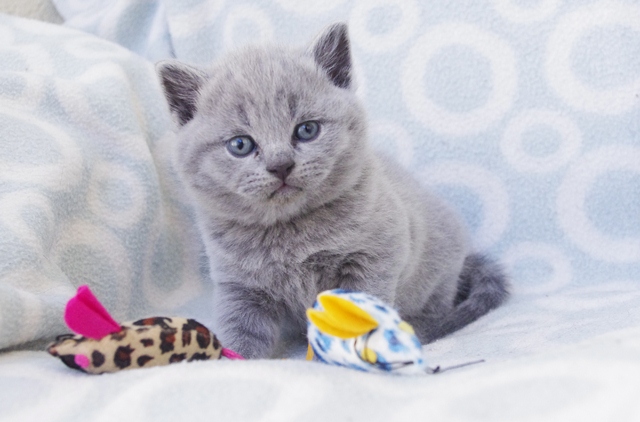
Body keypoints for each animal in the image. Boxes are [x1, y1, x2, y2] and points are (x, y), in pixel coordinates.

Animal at [156, 23, 509, 359]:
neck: (289, 233)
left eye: (307, 130)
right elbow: (241, 331)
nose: (281, 165)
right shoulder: (239, 286)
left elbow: (358, 311)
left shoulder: (377, 257)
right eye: (240, 145)